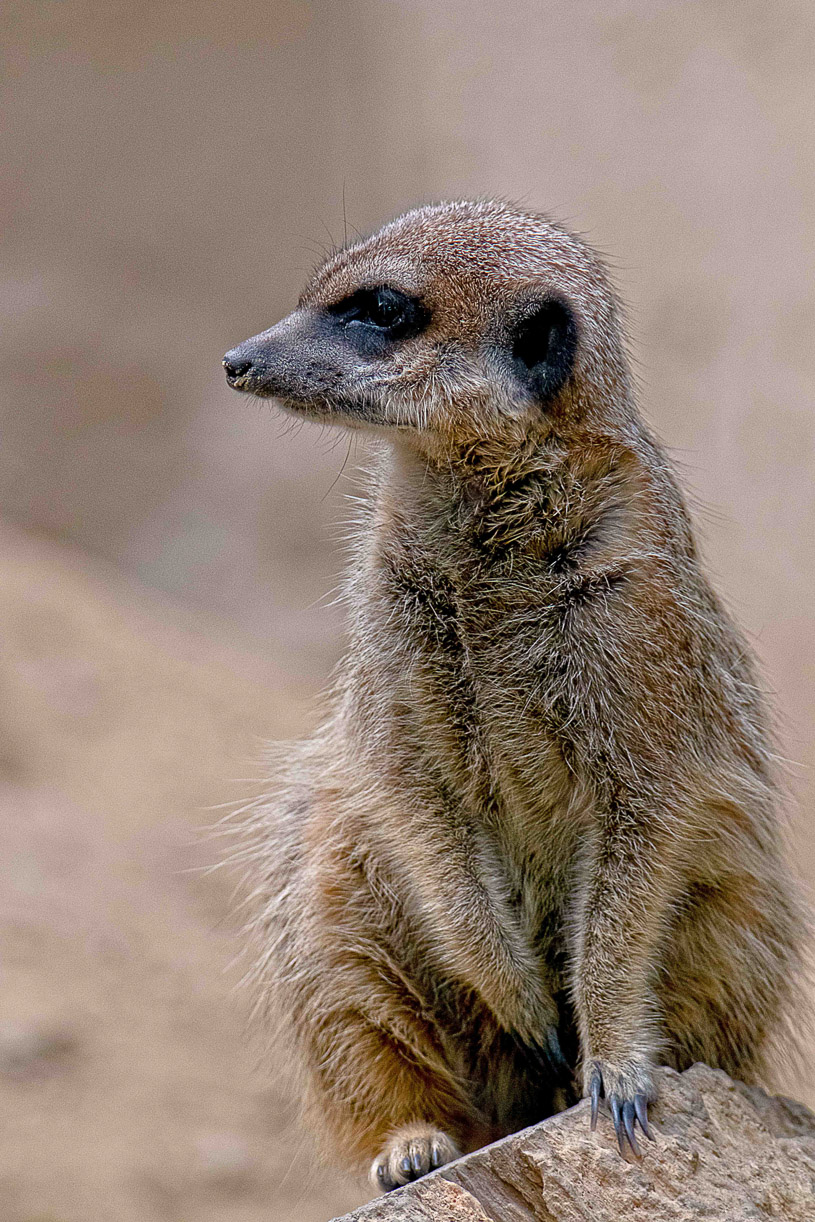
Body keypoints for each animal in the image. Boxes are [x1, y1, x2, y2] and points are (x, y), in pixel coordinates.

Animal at [222, 200, 805, 1190]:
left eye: (380, 307)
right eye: (316, 291)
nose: (235, 359)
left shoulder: (639, 636)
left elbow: (641, 841)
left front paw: (614, 1060)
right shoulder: (386, 627)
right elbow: (405, 786)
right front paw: (517, 997)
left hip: (743, 910)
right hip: (332, 887)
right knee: (348, 1000)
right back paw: (411, 1142)